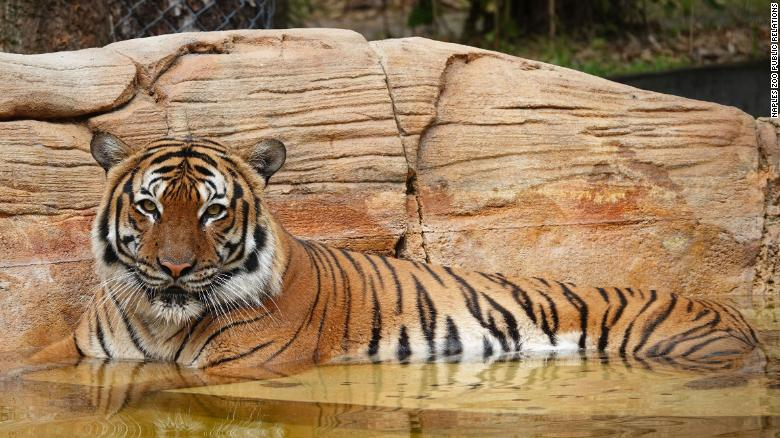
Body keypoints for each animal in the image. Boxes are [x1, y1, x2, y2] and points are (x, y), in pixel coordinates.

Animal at [25, 133, 760, 376]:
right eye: (149, 208)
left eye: (213, 210)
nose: (175, 269)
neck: (160, 319)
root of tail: (740, 318)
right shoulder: (79, 351)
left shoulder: (240, 368)